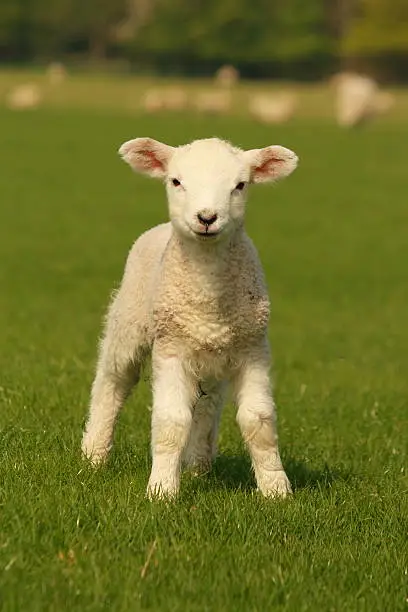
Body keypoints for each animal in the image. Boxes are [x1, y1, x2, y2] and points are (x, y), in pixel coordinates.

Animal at [82, 136, 300, 500]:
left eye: (240, 185)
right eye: (176, 181)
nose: (207, 217)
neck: (209, 301)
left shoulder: (253, 348)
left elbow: (258, 421)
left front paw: (275, 488)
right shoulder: (172, 349)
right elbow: (171, 421)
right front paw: (161, 491)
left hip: (211, 359)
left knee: (208, 406)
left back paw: (198, 465)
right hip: (129, 321)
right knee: (112, 382)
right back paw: (93, 454)